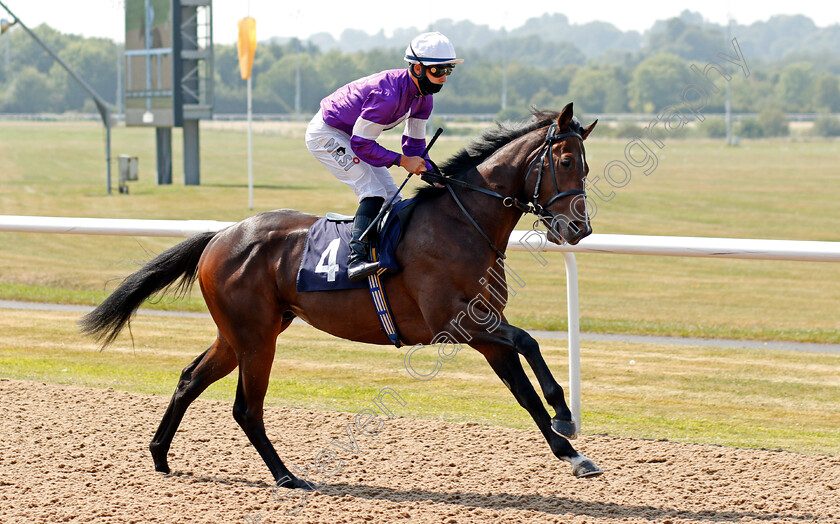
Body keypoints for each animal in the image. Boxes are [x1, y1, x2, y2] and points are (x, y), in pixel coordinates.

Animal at [80, 103, 596, 492]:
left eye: (587, 166)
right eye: (566, 162)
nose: (579, 229)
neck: (462, 221)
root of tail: (221, 235)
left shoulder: (486, 330)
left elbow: (525, 392)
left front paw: (572, 454)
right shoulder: (461, 324)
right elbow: (529, 342)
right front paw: (566, 416)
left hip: (240, 333)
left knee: (190, 379)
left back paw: (160, 456)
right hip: (255, 336)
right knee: (246, 407)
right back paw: (287, 476)